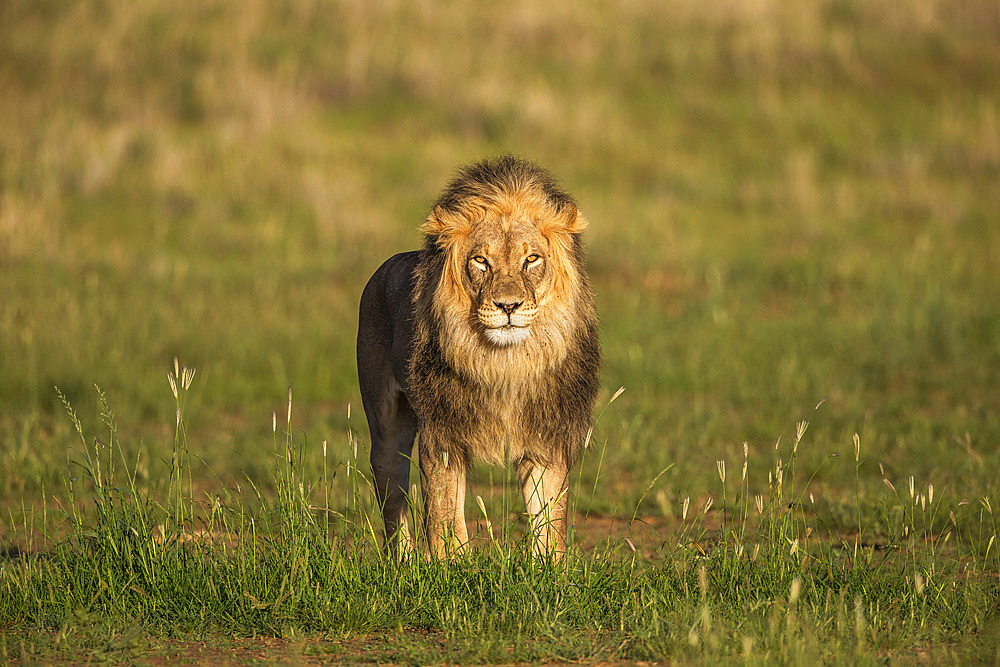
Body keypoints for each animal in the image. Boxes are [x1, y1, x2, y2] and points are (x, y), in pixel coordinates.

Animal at [356, 155, 596, 560]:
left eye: (532, 259)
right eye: (481, 261)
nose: (508, 306)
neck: (505, 363)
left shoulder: (547, 437)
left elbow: (550, 520)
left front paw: (549, 567)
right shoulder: (444, 435)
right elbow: (444, 517)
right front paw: (450, 565)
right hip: (385, 420)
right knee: (390, 485)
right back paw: (403, 561)